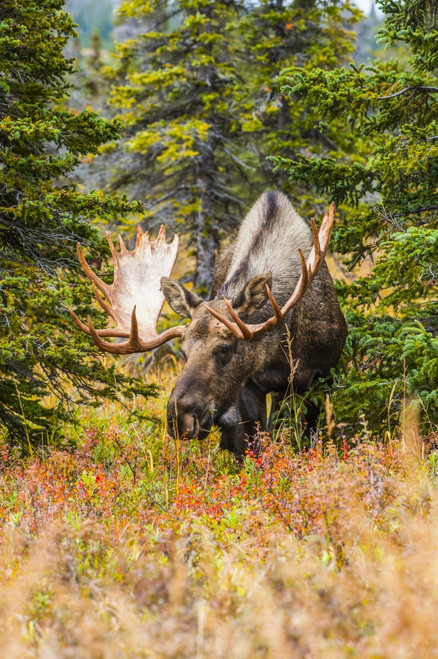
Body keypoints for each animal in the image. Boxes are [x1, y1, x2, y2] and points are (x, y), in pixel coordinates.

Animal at [70, 191, 347, 459]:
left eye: (224, 348)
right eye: (184, 352)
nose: (179, 419)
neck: (284, 345)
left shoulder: (321, 377)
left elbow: (307, 441)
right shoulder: (249, 386)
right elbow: (255, 445)